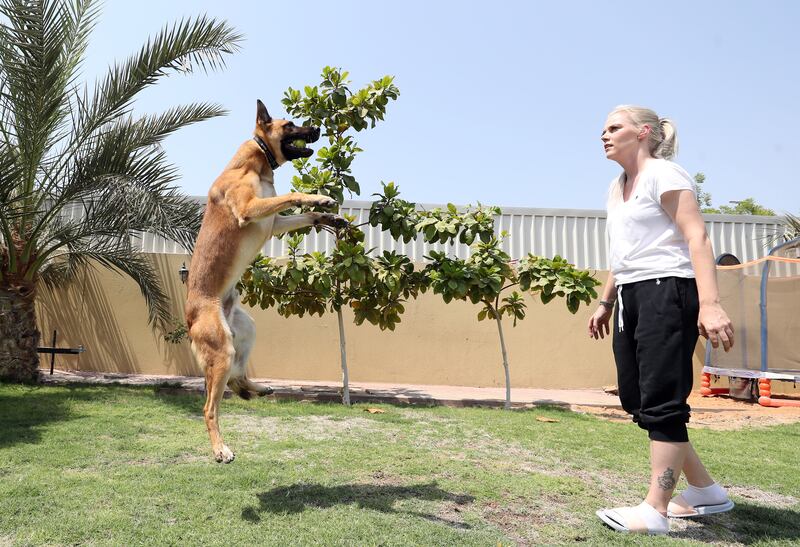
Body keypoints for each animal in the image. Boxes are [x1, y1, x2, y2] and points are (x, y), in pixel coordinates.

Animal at [186, 101, 346, 462]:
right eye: (290, 125)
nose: (317, 129)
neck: (257, 162)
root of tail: (188, 316)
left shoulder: (273, 223)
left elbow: (303, 214)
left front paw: (329, 215)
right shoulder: (250, 207)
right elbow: (293, 193)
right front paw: (320, 198)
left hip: (244, 332)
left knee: (237, 376)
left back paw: (255, 387)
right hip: (221, 348)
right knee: (209, 408)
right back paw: (220, 449)